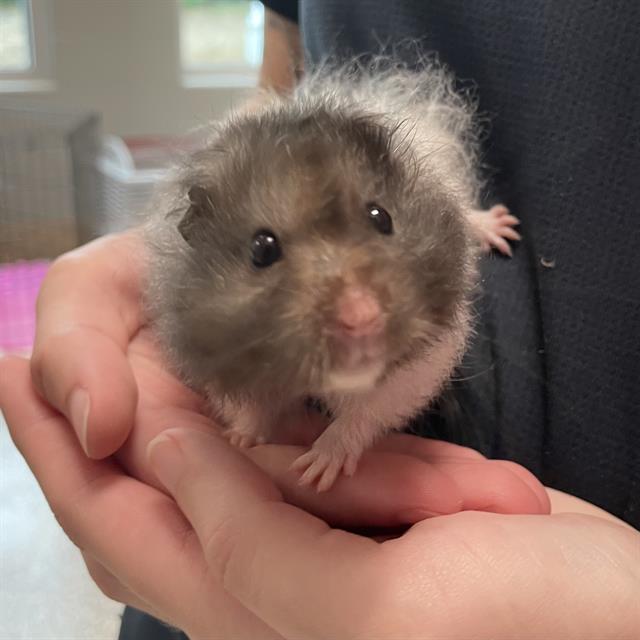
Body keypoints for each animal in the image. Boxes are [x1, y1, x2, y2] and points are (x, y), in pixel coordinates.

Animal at [145, 58, 520, 490]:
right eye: (262, 248)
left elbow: (362, 415)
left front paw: (316, 471)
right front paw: (238, 441)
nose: (362, 317)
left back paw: (502, 228)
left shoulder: (419, 366)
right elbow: (253, 409)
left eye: (382, 217)